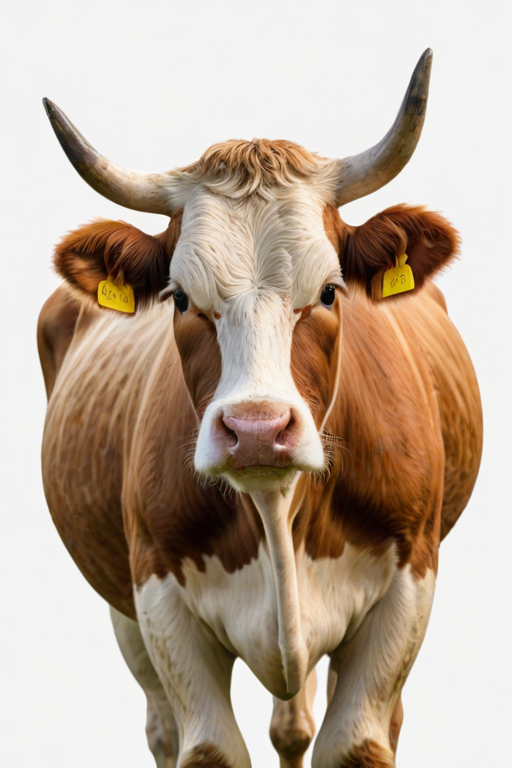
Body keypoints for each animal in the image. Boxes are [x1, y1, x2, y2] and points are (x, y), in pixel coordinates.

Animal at [38, 49, 482, 768]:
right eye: (180, 298)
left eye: (330, 291)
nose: (255, 431)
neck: (276, 512)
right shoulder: (157, 597)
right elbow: (206, 747)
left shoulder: (408, 585)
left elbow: (355, 742)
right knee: (166, 726)